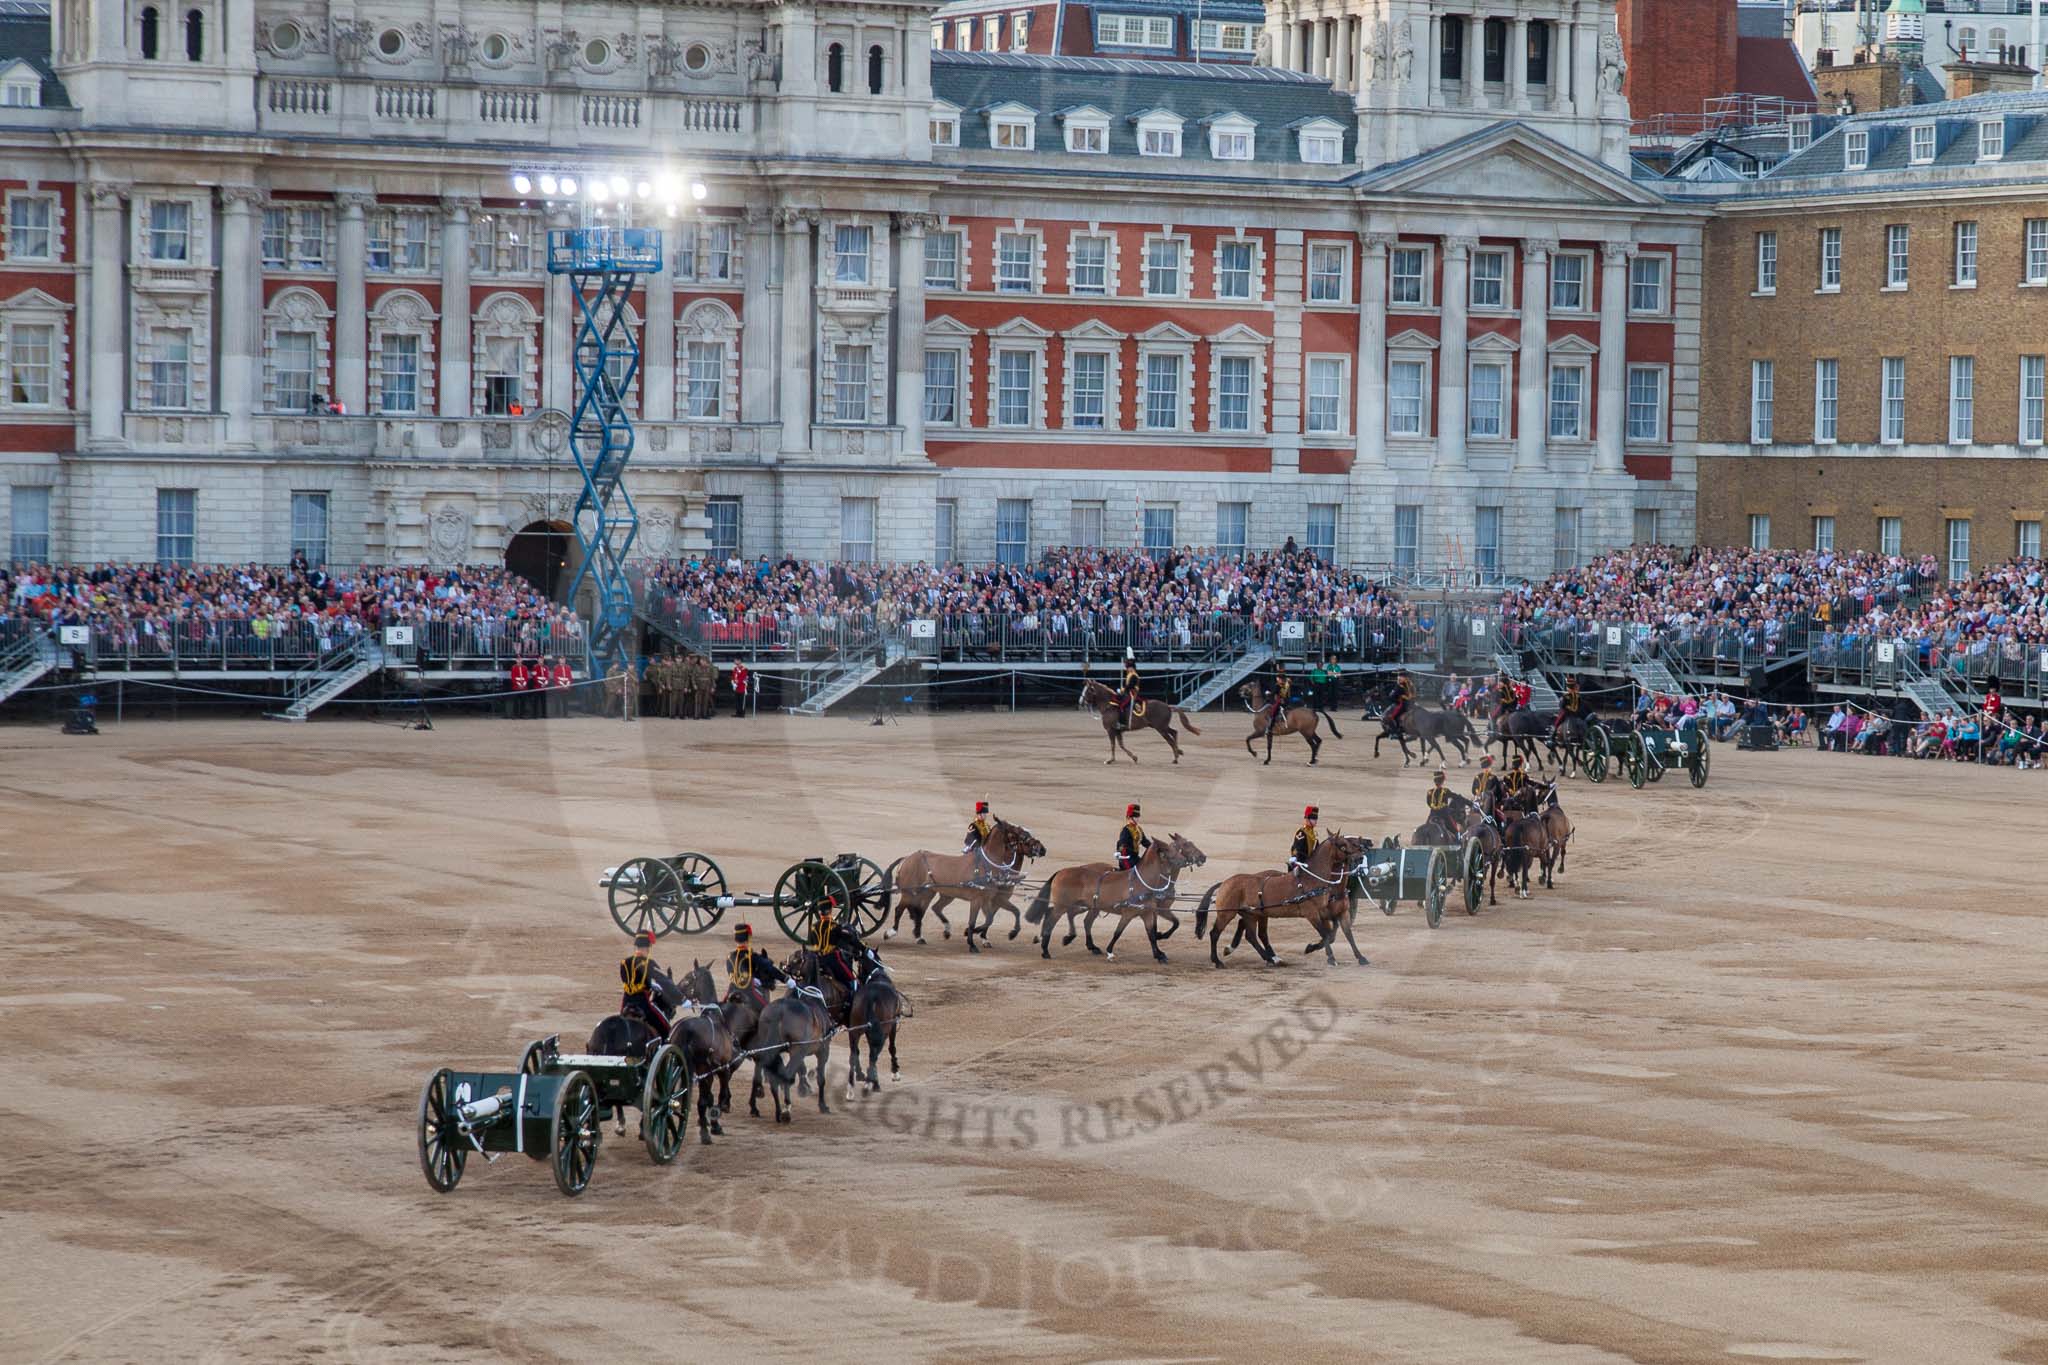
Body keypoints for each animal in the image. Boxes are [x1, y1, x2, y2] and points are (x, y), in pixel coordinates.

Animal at [884, 822, 1048, 949]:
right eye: (1021, 834)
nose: (1042, 849)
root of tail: (907, 858)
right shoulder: (984, 899)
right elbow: (979, 920)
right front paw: (973, 939)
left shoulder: (991, 899)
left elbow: (995, 917)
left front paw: (984, 936)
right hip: (910, 892)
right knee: (900, 909)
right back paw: (891, 933)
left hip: (932, 894)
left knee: (926, 910)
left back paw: (925, 935)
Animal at [1019, 839, 1196, 965]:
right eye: (1170, 849)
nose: (1186, 860)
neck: (1143, 882)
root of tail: (1061, 871)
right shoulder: (1129, 913)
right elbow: (1118, 932)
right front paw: (1110, 951)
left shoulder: (1146, 913)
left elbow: (1151, 934)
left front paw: (1159, 954)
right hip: (1063, 906)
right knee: (1052, 919)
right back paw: (1046, 950)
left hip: (1083, 905)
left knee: (1075, 918)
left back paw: (1079, 943)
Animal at [1196, 834, 1368, 970]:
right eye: (1343, 845)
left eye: (1358, 845)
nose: (1360, 858)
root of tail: (1225, 882)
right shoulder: (1313, 914)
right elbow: (1326, 935)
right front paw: (1330, 958)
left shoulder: (1330, 913)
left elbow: (1342, 934)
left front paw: (1361, 957)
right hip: (1227, 914)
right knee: (1215, 933)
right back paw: (1218, 961)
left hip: (1253, 914)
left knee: (1252, 935)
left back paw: (1270, 958)